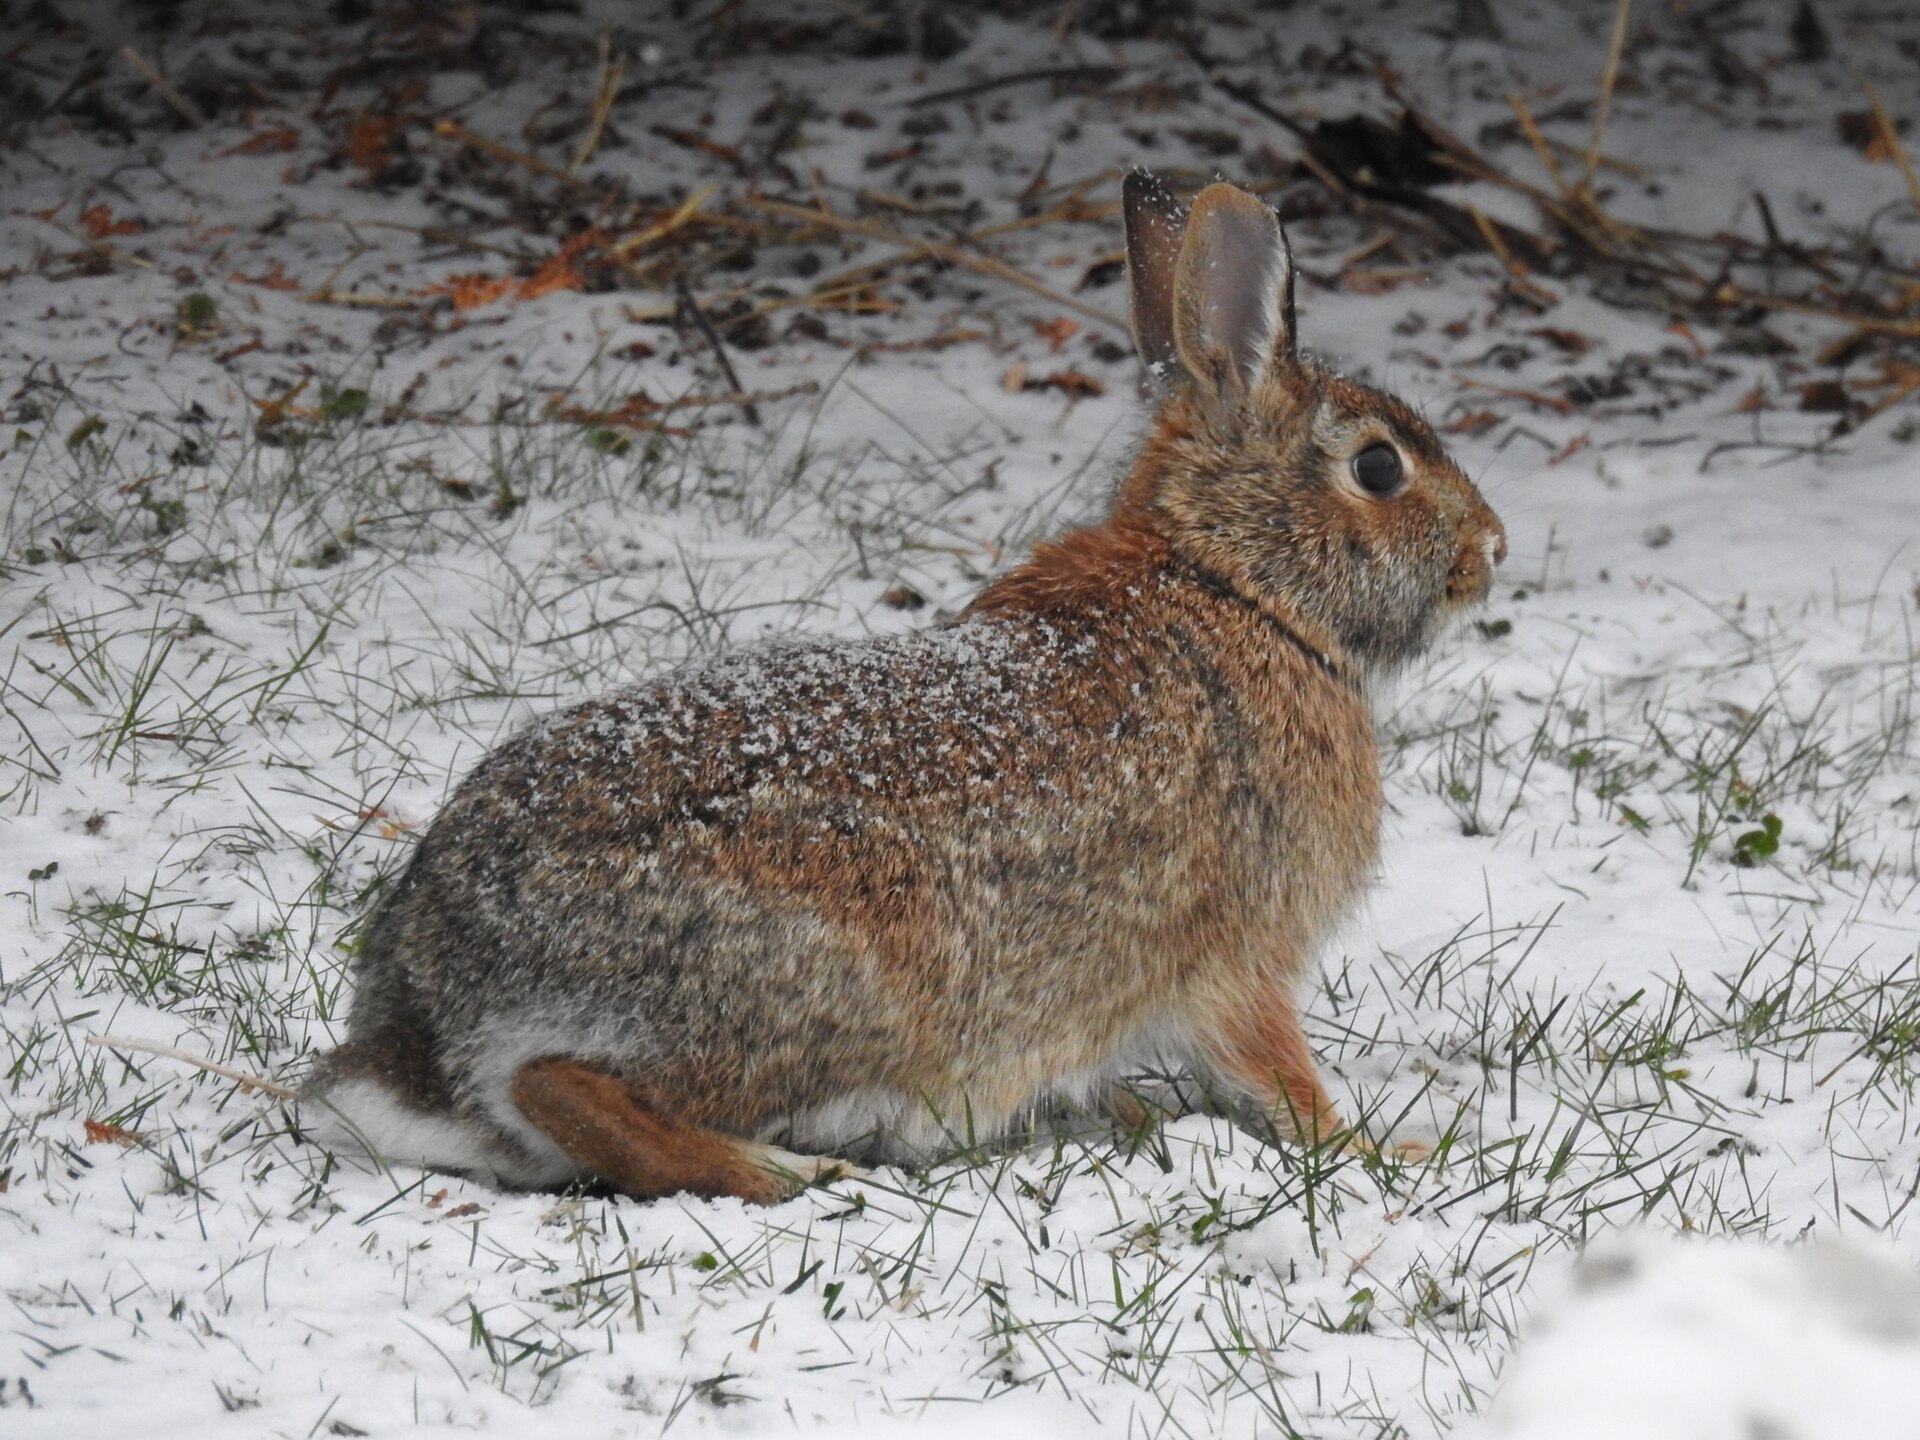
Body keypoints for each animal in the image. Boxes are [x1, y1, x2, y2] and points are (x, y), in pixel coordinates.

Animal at [303, 172, 1506, 1203]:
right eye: (1379, 467)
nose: (1490, 550)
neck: (1235, 580)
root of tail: (430, 1015)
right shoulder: (1244, 956)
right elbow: (1280, 1077)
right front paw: (1380, 1147)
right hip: (830, 989)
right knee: (570, 1093)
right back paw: (790, 1171)